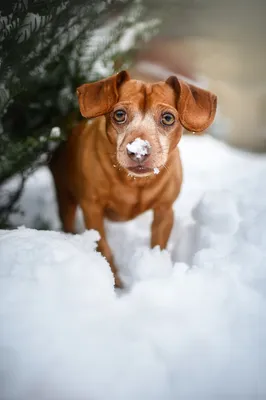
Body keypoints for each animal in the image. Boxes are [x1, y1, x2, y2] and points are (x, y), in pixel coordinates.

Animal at [48, 70, 217, 286]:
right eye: (119, 115)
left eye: (168, 118)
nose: (138, 151)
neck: (133, 183)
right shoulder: (92, 209)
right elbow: (103, 247)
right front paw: (116, 282)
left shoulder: (165, 211)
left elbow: (158, 246)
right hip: (65, 197)